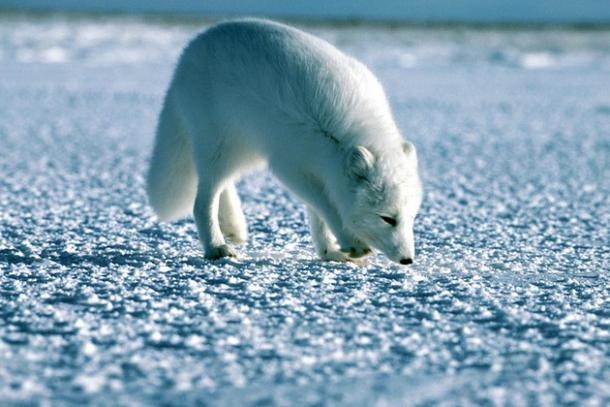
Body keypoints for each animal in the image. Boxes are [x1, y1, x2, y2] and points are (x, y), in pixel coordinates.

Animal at [148, 19, 422, 266]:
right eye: (387, 218)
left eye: (411, 218)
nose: (407, 260)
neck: (340, 134)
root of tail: (189, 50)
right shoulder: (291, 167)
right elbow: (326, 206)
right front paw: (351, 243)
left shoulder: (319, 171)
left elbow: (318, 214)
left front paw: (329, 252)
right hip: (219, 147)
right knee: (202, 202)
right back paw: (216, 246)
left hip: (244, 151)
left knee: (224, 185)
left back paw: (232, 227)